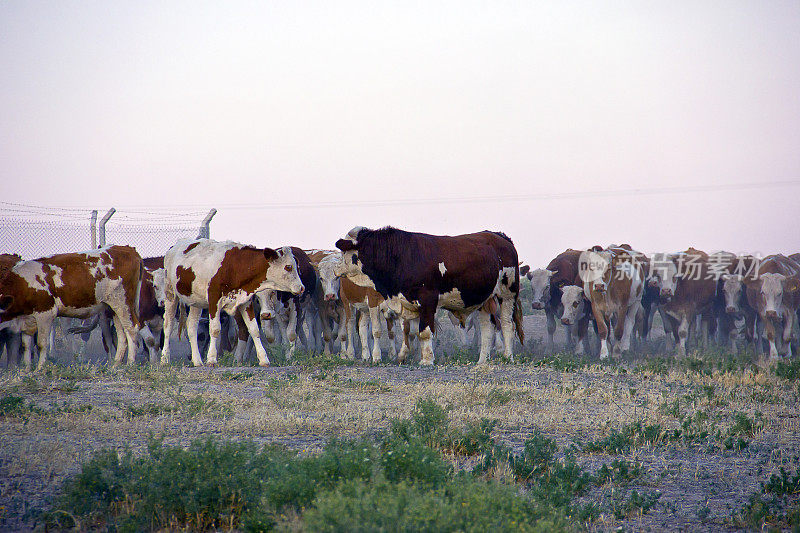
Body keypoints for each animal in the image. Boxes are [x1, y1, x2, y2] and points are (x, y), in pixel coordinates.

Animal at [0, 246, 141, 368]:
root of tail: (128, 249)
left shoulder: (45, 313)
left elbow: (41, 343)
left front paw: (40, 368)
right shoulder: (27, 320)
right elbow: (26, 345)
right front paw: (27, 369)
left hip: (123, 304)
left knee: (131, 328)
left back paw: (130, 362)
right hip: (113, 308)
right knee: (121, 334)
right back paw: (116, 364)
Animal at [159, 238, 304, 366]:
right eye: (288, 267)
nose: (301, 287)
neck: (234, 266)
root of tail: (175, 246)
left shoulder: (245, 301)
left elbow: (254, 329)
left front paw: (264, 360)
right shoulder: (214, 301)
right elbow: (215, 329)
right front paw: (212, 359)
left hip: (196, 302)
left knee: (192, 326)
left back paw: (197, 361)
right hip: (170, 293)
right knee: (168, 325)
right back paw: (165, 359)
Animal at [332, 224, 524, 366]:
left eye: (343, 252)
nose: (335, 268)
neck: (401, 255)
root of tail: (499, 236)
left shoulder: (428, 300)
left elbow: (424, 332)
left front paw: (426, 360)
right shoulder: (410, 303)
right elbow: (413, 332)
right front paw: (410, 356)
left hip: (508, 294)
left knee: (507, 324)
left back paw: (508, 356)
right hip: (485, 299)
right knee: (487, 327)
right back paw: (482, 360)